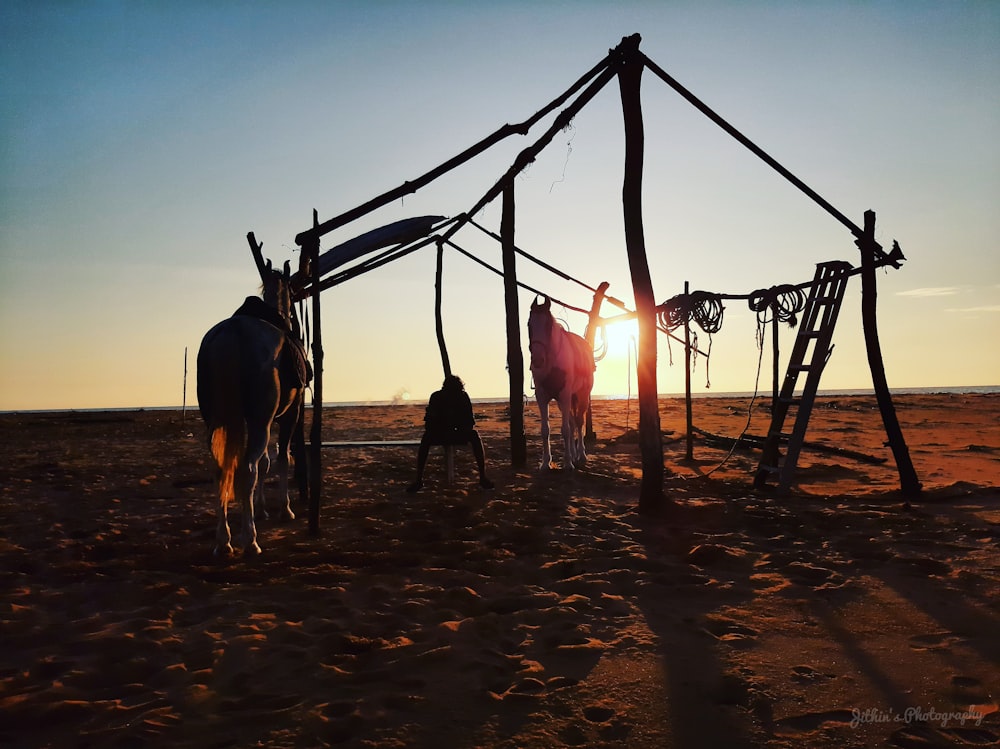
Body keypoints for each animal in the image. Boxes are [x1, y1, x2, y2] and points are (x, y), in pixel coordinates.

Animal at [194, 260, 304, 552]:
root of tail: (232, 334)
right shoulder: (289, 414)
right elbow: (280, 459)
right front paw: (284, 510)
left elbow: (265, 462)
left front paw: (261, 509)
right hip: (259, 420)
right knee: (247, 469)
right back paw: (250, 539)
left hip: (217, 419)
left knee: (221, 469)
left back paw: (224, 541)